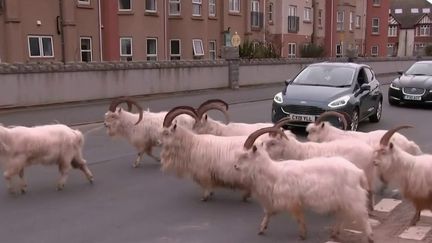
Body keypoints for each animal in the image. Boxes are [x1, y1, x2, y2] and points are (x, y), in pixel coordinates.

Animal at [235, 128, 372, 242]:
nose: (235, 166)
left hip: (353, 199)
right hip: (343, 201)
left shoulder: (291, 200)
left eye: (245, 155)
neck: (274, 173)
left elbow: (298, 217)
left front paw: (303, 234)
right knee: (342, 215)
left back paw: (369, 237)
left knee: (363, 216)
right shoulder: (277, 199)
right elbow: (269, 212)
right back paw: (334, 232)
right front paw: (262, 229)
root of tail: (358, 172)